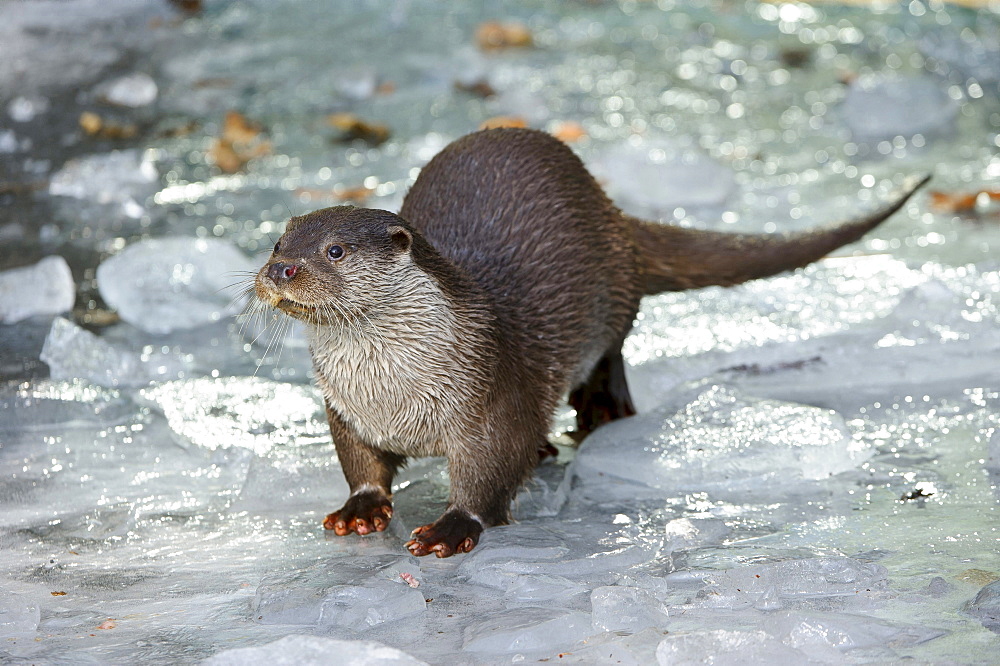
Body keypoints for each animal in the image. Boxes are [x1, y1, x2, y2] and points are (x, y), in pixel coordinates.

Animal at [254, 127, 924, 556]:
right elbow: (361, 463)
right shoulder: (345, 411)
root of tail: (612, 209)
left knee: (615, 347)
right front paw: (361, 509)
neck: (395, 395)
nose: (281, 270)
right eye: (279, 242)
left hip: (613, 295)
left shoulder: (491, 398)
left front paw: (451, 527)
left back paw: (600, 410)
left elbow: (488, 472)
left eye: (335, 250)